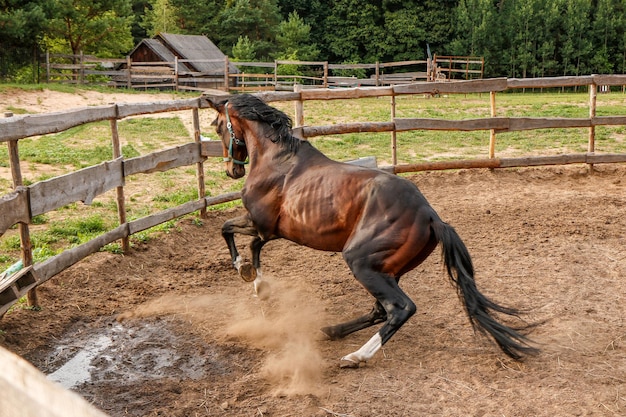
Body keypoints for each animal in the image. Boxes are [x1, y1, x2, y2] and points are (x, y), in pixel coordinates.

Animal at [206, 93, 536, 368]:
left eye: (218, 126)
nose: (232, 171)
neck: (278, 159)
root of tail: (430, 216)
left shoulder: (261, 224)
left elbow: (228, 230)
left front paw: (246, 272)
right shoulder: (272, 230)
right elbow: (252, 245)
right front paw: (258, 284)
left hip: (361, 262)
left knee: (400, 308)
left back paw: (355, 356)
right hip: (387, 269)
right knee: (381, 310)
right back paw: (331, 331)